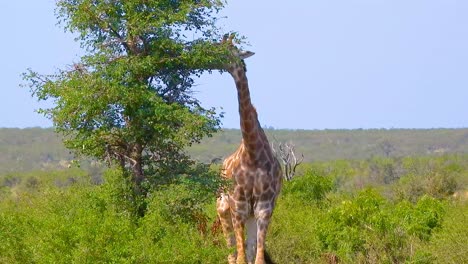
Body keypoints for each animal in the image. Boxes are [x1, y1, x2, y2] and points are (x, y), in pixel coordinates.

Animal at [216, 35, 282, 264]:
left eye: (230, 50)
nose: (212, 56)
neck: (253, 153)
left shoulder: (263, 207)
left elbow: (256, 258)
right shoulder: (239, 205)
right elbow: (240, 258)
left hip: (251, 214)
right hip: (222, 206)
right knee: (230, 252)